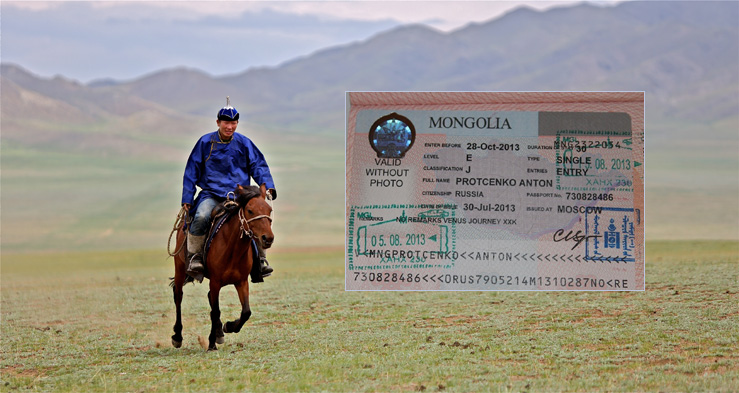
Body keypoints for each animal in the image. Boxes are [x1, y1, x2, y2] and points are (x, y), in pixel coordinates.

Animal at [171, 183, 274, 350]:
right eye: (250, 210)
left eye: (269, 210)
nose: (268, 238)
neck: (233, 248)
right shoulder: (215, 281)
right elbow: (215, 311)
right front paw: (211, 343)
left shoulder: (241, 281)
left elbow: (246, 311)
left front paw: (229, 326)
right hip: (180, 268)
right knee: (178, 296)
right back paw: (177, 336)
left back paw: (219, 333)